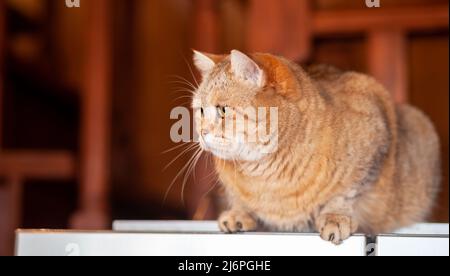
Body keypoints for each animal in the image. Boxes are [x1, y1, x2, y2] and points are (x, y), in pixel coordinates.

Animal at [190, 49, 440, 244]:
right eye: (200, 110)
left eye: (222, 109)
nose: (202, 133)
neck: (267, 174)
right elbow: (237, 198)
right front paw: (239, 213)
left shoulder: (375, 138)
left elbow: (344, 194)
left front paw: (335, 217)